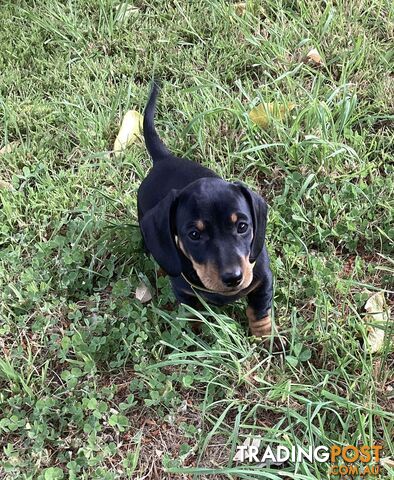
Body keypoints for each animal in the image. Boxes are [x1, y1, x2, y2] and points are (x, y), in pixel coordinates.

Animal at [137, 82, 272, 338]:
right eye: (194, 235)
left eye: (242, 226)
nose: (233, 278)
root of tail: (163, 159)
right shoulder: (185, 294)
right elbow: (193, 317)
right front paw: (197, 337)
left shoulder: (262, 279)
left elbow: (260, 312)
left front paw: (265, 339)